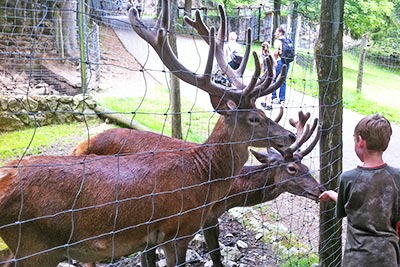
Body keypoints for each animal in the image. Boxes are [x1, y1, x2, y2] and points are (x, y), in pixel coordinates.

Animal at [0, 2, 296, 267]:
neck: (203, 175)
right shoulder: (178, 230)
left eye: (263, 111)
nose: (290, 136)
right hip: (36, 246)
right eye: (254, 118)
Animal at [70, 111, 324, 267]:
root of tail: (78, 147)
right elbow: (214, 254)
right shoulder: (202, 217)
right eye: (292, 168)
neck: (230, 194)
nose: (320, 190)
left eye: (306, 166)